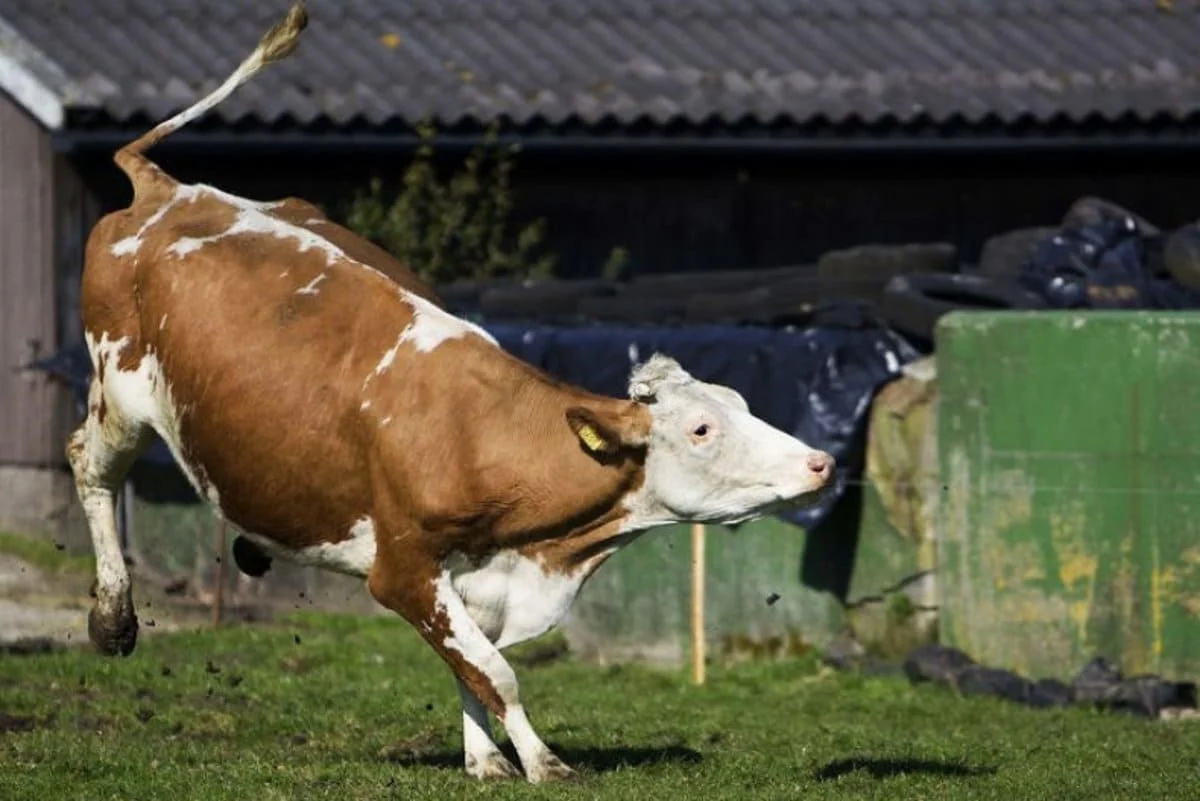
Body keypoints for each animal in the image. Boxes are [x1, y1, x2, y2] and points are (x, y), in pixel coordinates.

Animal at [68, 3, 835, 786]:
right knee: (88, 466)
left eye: (742, 403)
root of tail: (169, 189)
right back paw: (113, 616)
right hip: (121, 396)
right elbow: (496, 672)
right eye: (702, 428)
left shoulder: (476, 577)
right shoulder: (403, 569)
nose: (821, 462)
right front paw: (541, 761)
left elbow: (470, 665)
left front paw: (486, 760)